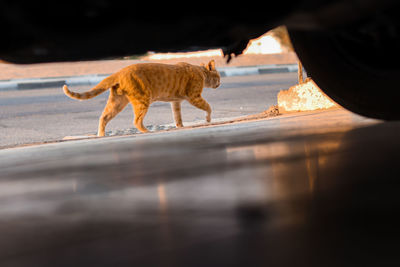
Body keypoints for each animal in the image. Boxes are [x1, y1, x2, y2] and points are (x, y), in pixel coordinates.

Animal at [63, 60, 220, 136]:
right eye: (218, 76)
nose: (220, 83)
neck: (201, 72)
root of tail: (119, 72)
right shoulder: (194, 96)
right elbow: (208, 107)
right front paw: (208, 120)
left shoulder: (176, 102)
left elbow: (177, 116)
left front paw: (180, 127)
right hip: (142, 100)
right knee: (137, 121)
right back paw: (147, 132)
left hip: (117, 102)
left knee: (104, 117)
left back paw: (101, 135)